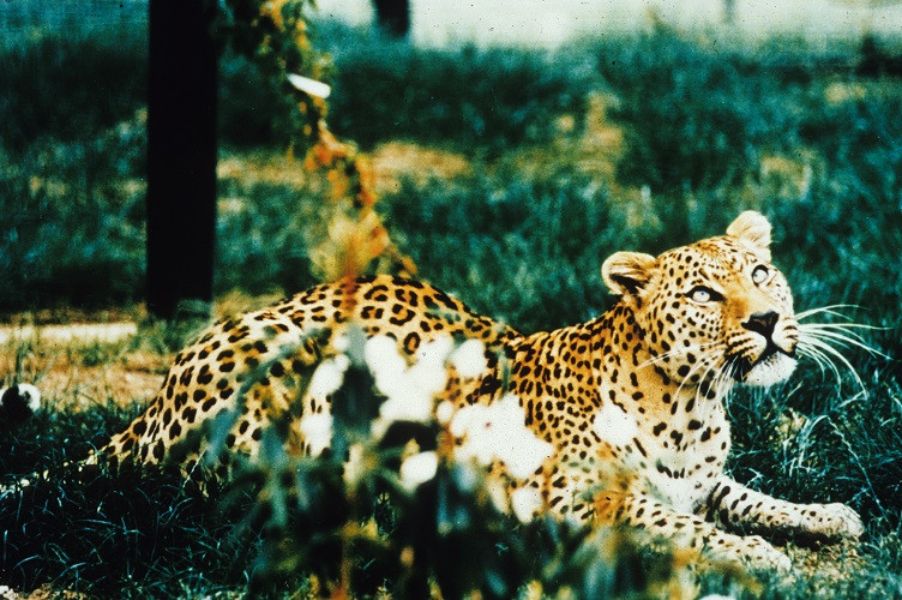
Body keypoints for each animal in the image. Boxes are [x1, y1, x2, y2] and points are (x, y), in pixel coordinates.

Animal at [14, 212, 864, 572]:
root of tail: (158, 397)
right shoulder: (572, 494)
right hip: (286, 369)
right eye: (702, 294)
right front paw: (754, 555)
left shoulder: (702, 477)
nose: (767, 320)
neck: (694, 401)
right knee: (229, 489)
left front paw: (825, 515)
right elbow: (675, 522)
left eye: (760, 273)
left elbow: (748, 496)